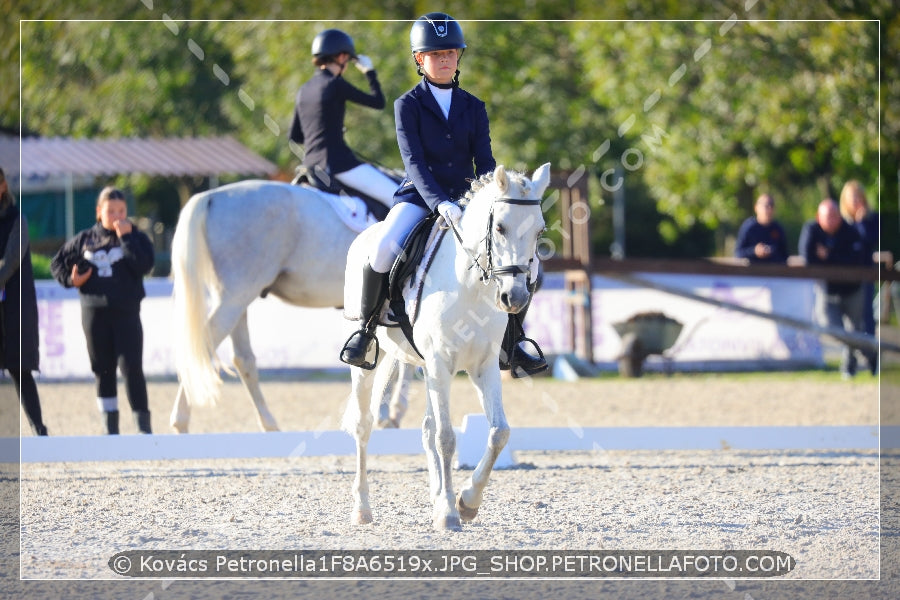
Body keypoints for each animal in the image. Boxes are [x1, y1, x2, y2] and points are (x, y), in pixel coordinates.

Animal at [168, 180, 412, 434]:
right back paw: (181, 422)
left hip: (237, 300)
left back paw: (269, 424)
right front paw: (390, 413)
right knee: (203, 349)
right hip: (235, 298)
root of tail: (211, 196)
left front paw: (386, 412)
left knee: (243, 359)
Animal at [342, 163, 548, 528]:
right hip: (372, 363)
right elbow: (447, 438)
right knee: (364, 424)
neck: (472, 286)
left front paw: (466, 501)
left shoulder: (484, 366)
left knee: (427, 428)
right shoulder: (440, 363)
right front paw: (452, 513)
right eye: (500, 227)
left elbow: (499, 432)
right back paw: (363, 508)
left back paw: (438, 499)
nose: (515, 298)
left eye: (540, 232)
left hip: (428, 369)